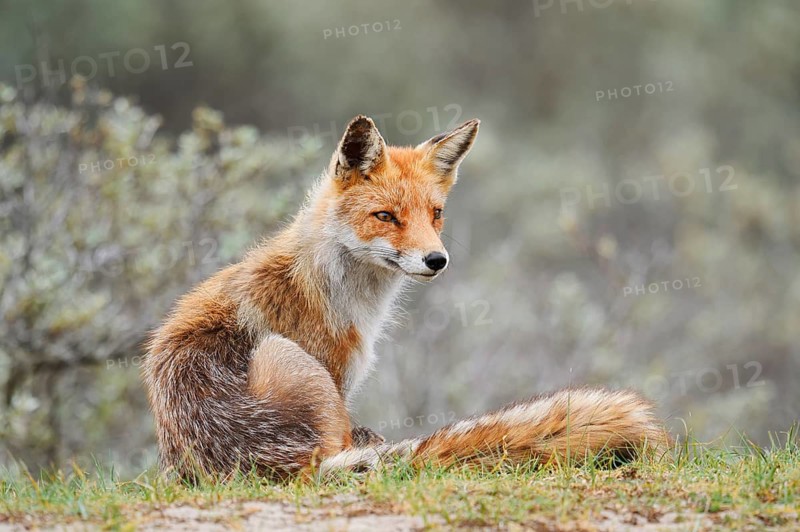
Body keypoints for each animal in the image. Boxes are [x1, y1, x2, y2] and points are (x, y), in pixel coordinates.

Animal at [142, 115, 668, 479]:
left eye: (435, 214)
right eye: (386, 216)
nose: (437, 260)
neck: (330, 285)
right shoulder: (337, 381)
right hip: (283, 357)